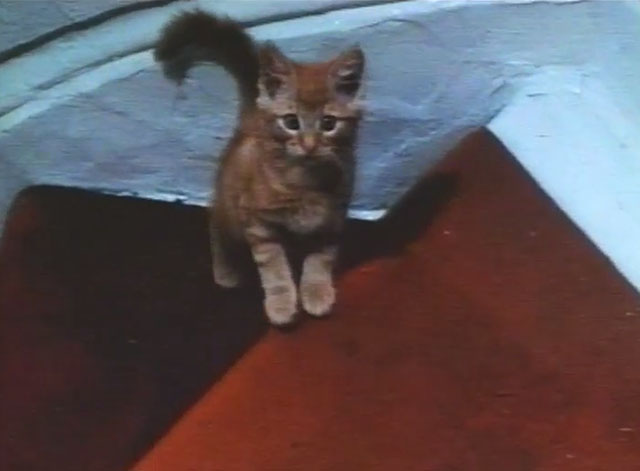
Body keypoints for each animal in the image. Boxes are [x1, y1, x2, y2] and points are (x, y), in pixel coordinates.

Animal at [155, 12, 364, 328]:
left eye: (329, 124)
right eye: (291, 122)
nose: (309, 145)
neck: (305, 182)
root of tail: (251, 116)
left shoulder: (334, 216)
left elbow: (321, 258)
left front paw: (316, 291)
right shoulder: (257, 222)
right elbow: (274, 268)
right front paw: (281, 304)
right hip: (231, 204)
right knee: (214, 219)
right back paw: (226, 270)